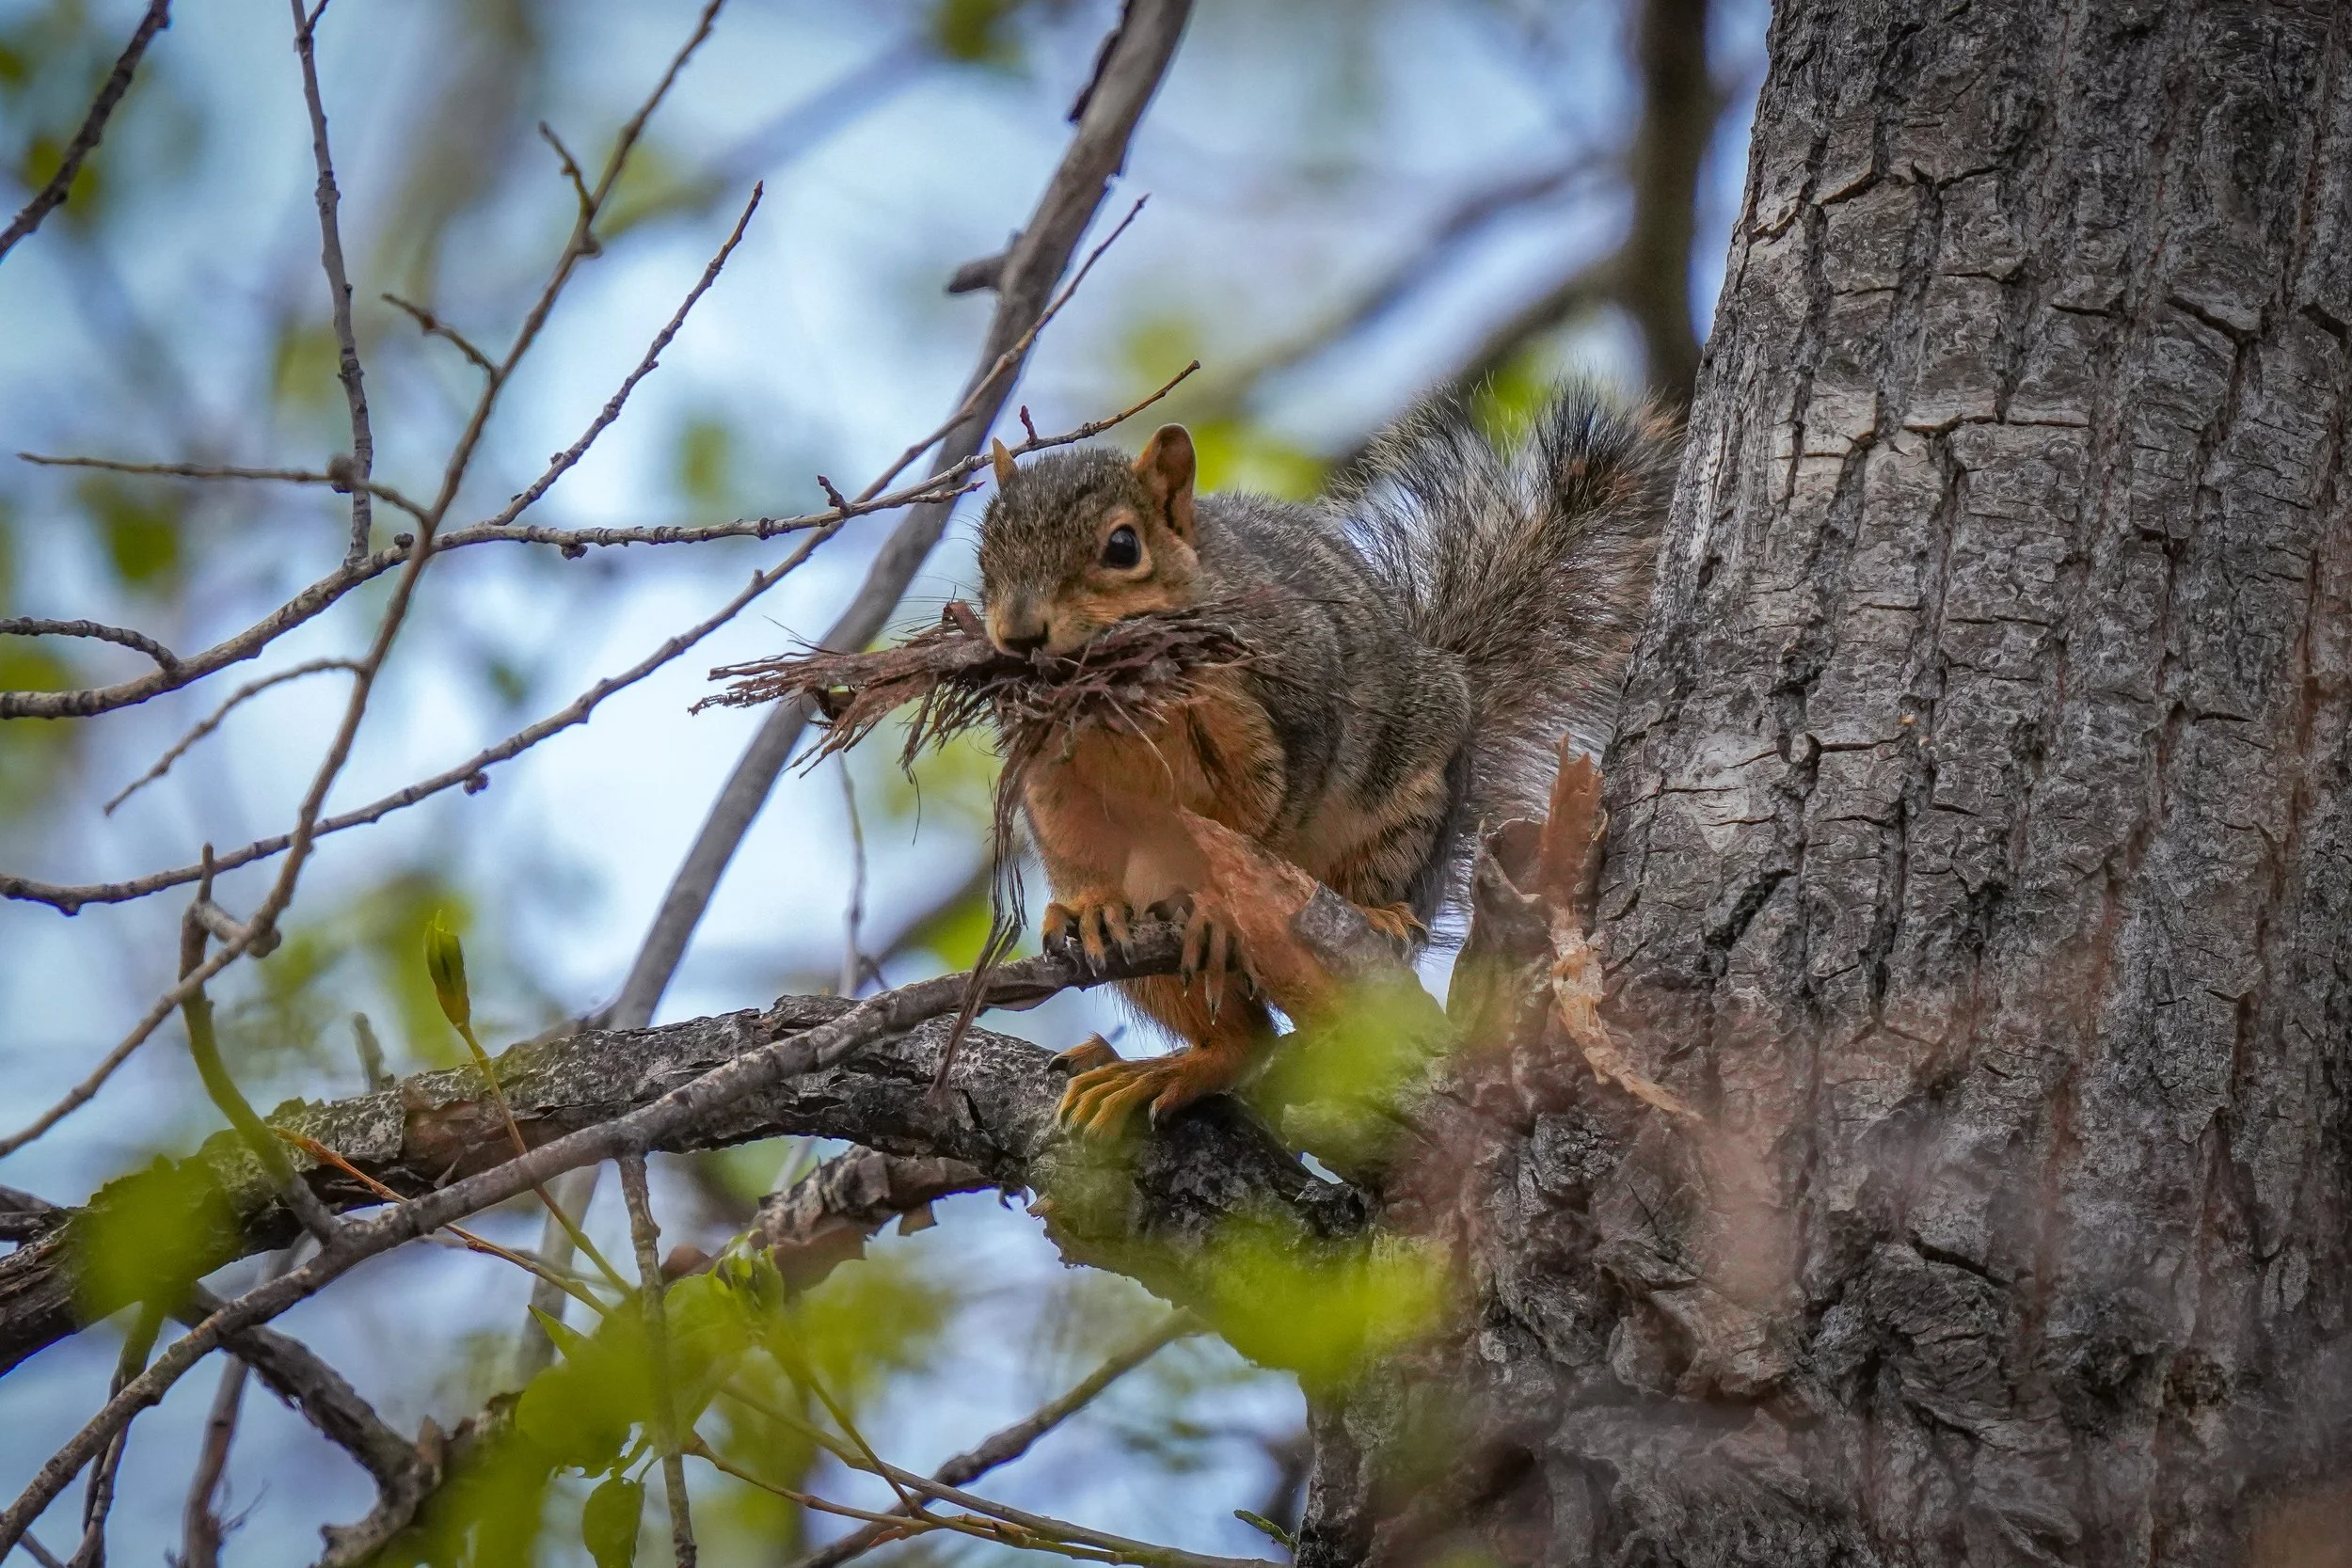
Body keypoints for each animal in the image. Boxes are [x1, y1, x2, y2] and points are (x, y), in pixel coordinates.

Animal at [975, 381, 1675, 1136]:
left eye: (1123, 546)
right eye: (985, 557)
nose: (1018, 635)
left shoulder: (1295, 701)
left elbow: (1268, 819)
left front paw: (1221, 907)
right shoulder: (1051, 769)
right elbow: (1070, 837)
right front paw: (1089, 908)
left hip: (1407, 808)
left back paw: (1377, 916)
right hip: (1156, 953)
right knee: (1241, 1037)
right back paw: (1165, 1066)